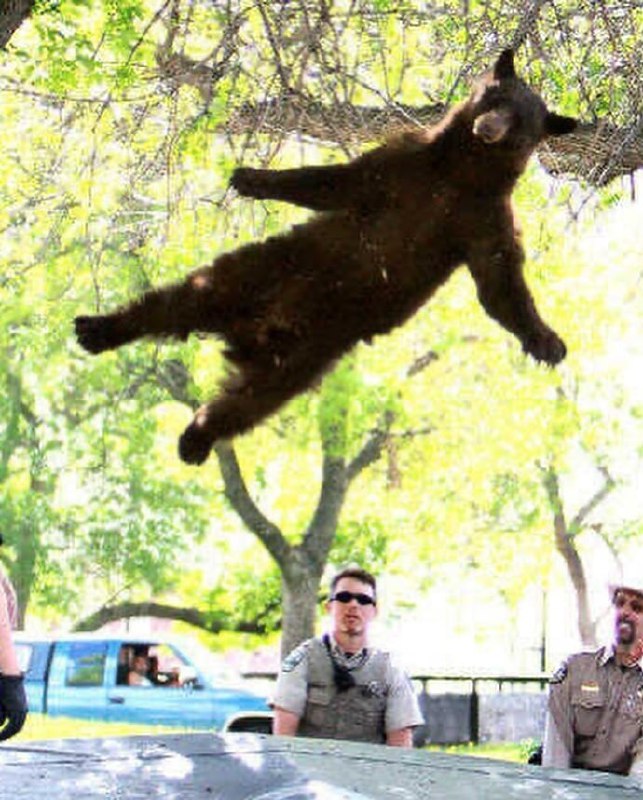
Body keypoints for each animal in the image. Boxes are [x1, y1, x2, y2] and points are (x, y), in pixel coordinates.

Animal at [75, 49, 577, 466]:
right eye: (495, 96)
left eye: (521, 123)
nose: (489, 126)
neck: (461, 173)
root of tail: (249, 334)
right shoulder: (405, 165)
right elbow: (333, 181)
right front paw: (251, 178)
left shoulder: (483, 219)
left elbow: (500, 281)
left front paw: (547, 342)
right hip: (259, 271)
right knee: (177, 301)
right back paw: (99, 328)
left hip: (306, 357)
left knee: (245, 403)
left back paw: (194, 439)